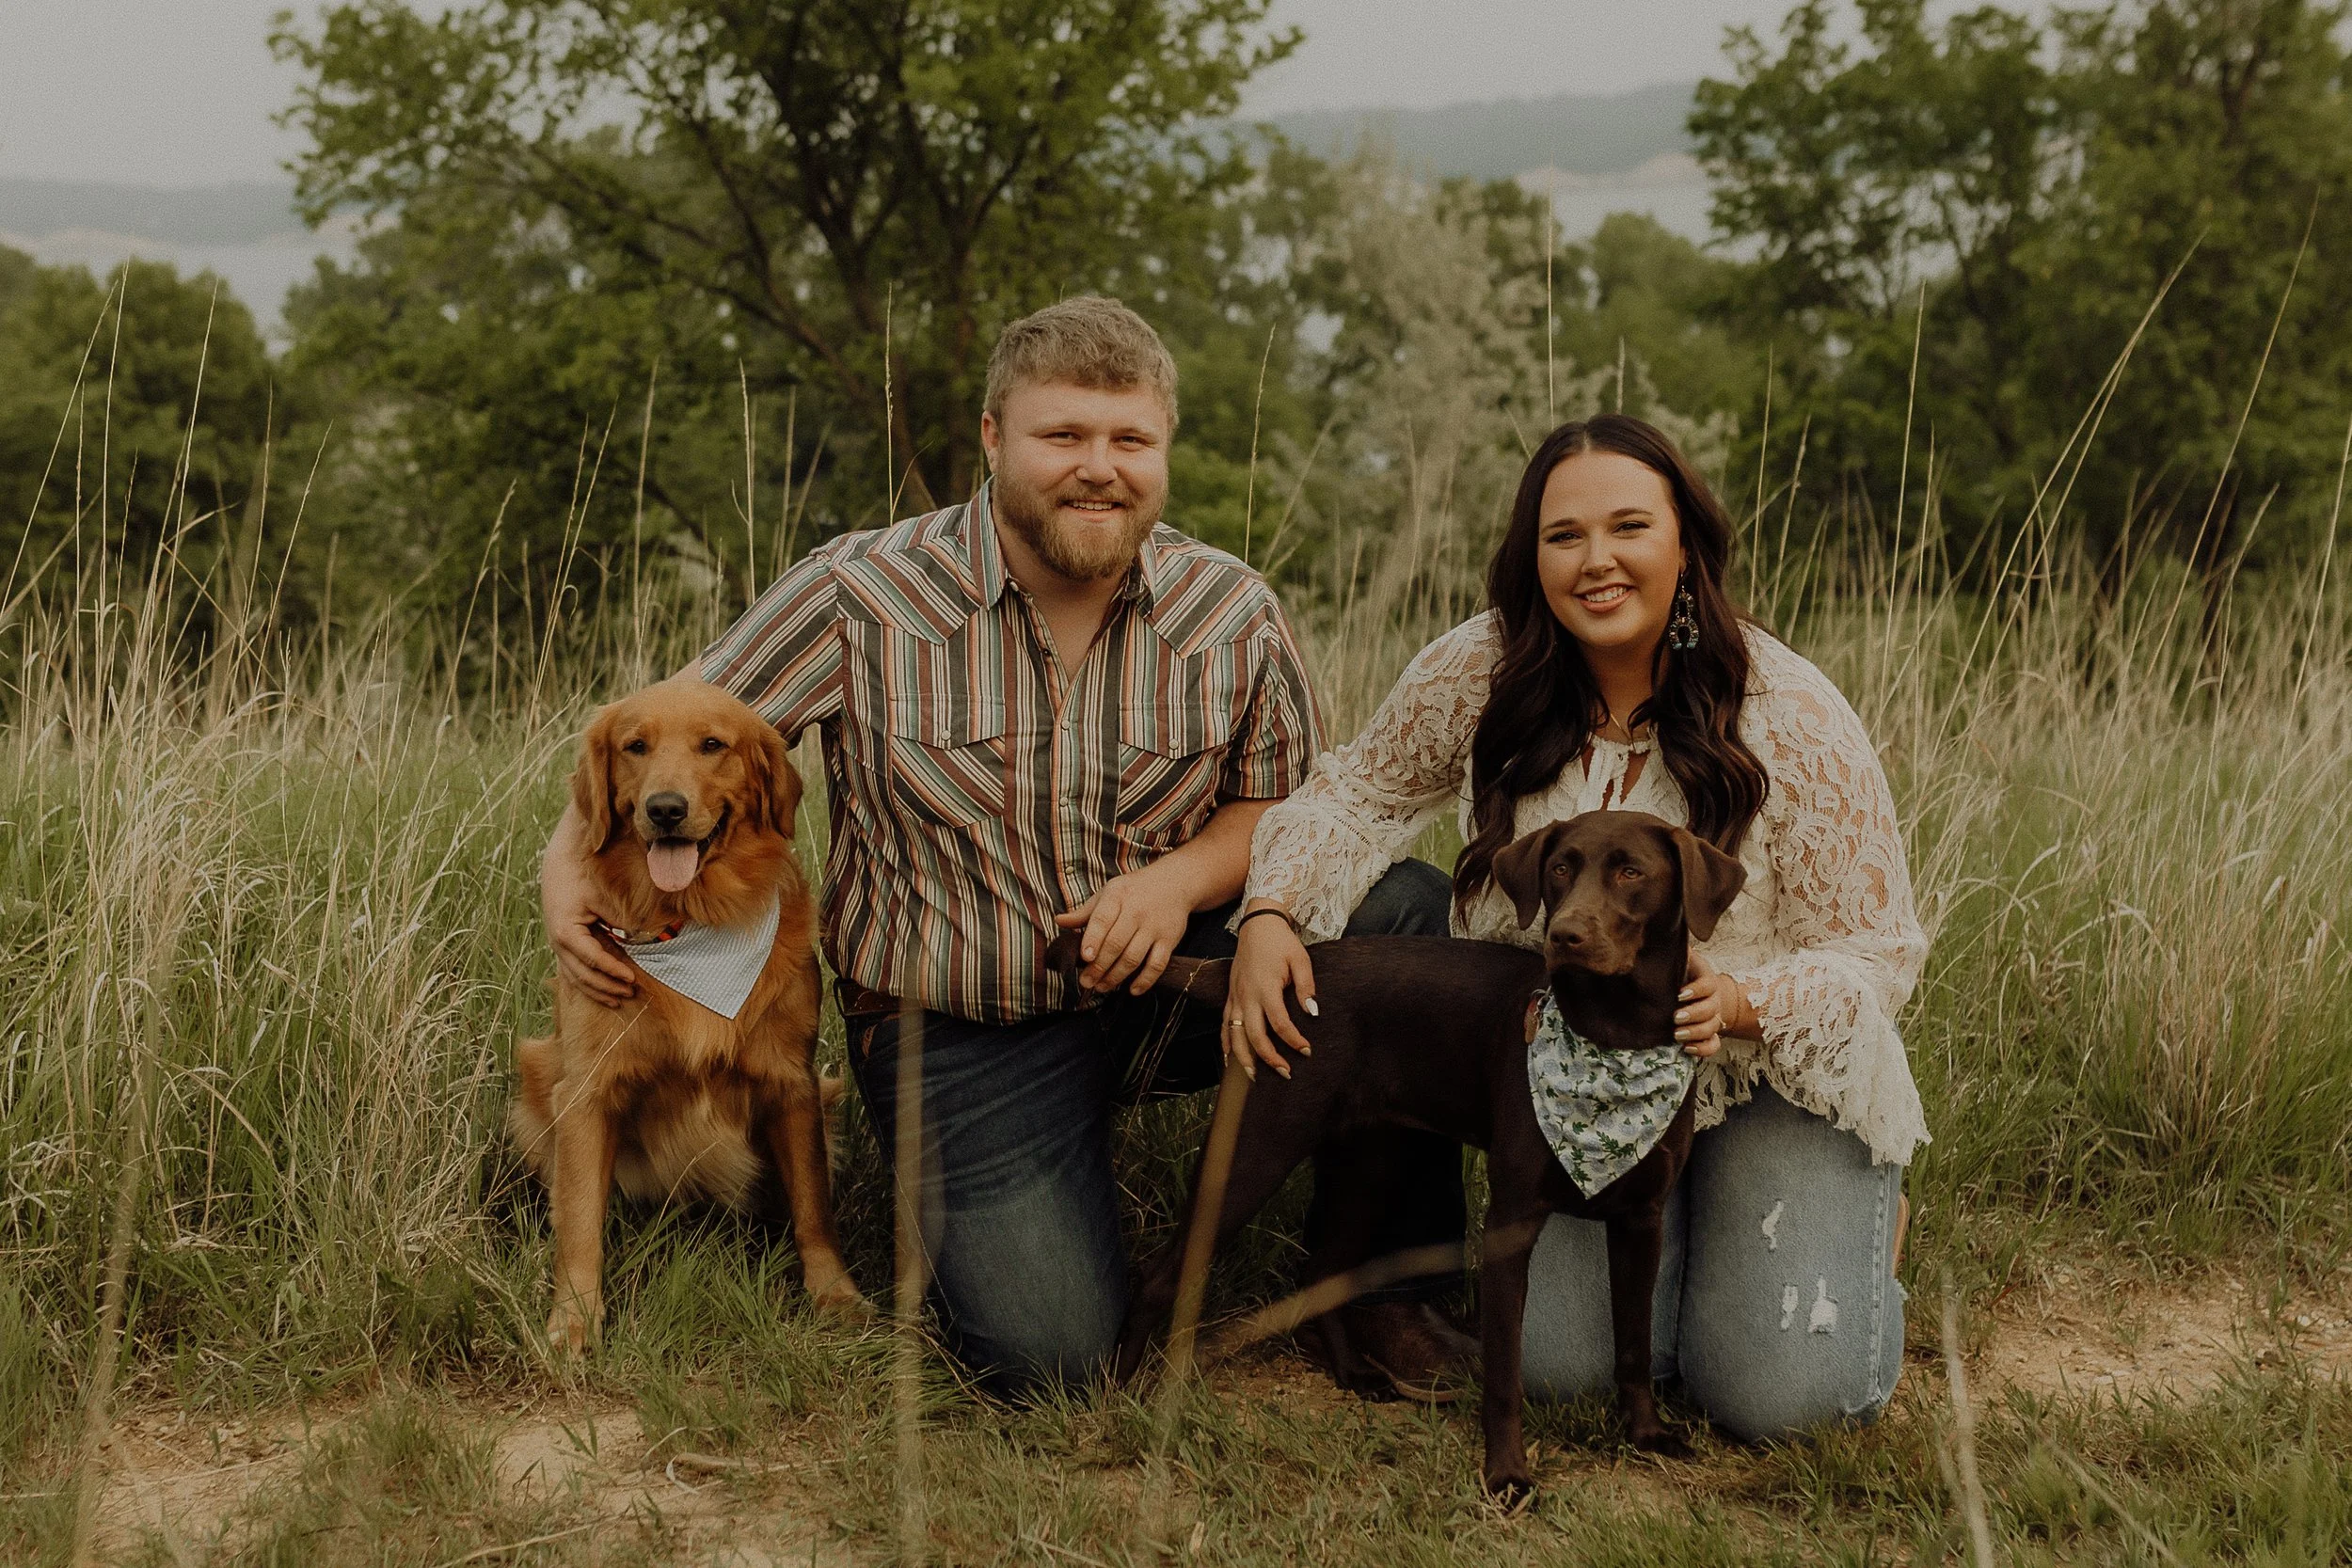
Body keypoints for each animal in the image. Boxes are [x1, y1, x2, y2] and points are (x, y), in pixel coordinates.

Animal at [510, 676, 864, 1355]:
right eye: (635, 746)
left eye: (712, 745)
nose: (666, 809)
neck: (694, 921)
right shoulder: (586, 1090)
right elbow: (579, 1219)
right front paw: (573, 1319)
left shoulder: (793, 1083)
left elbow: (814, 1206)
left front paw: (835, 1294)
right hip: (539, 1070)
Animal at [1109, 810, 1743, 1501]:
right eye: (1559, 868)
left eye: (1632, 871)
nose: (1567, 934)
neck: (1613, 1040)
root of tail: (1269, 970)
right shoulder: (1510, 1227)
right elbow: (1505, 1371)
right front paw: (1506, 1472)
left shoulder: (1641, 1221)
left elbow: (1634, 1343)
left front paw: (1647, 1433)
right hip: (1256, 1149)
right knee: (1161, 1272)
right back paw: (1124, 1389)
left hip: (1369, 1166)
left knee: (1322, 1266)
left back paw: (1355, 1372)